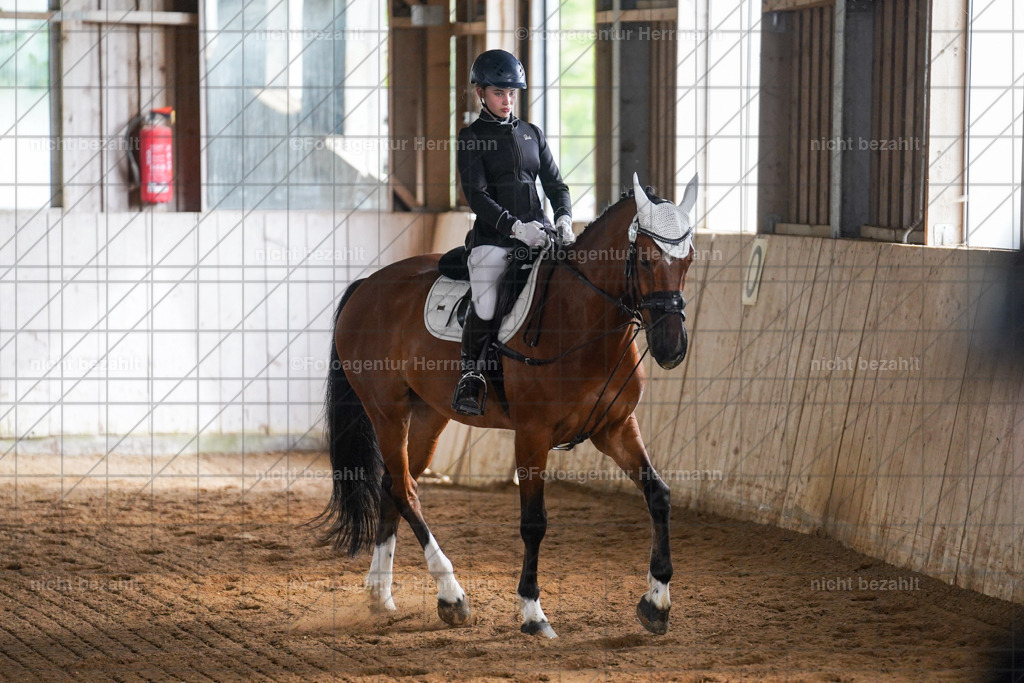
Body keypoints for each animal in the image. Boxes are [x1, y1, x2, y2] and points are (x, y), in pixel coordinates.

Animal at [315, 173, 699, 639]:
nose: (672, 347)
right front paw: (533, 613)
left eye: (688, 260)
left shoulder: (616, 427)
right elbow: (534, 521)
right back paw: (452, 594)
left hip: (427, 416)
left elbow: (658, 494)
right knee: (405, 491)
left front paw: (656, 601)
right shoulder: (532, 435)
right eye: (644, 259)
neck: (581, 317)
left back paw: (380, 596)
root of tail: (366, 286)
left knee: (394, 486)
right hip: (386, 412)